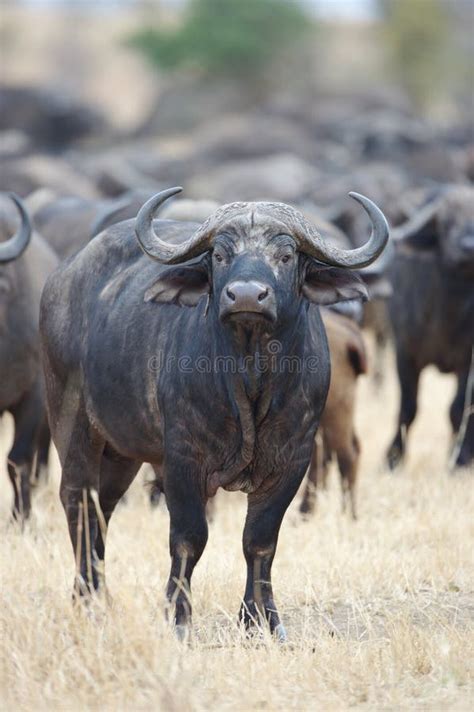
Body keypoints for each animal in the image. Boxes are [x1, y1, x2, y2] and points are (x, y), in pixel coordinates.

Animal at [40, 188, 388, 640]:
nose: (246, 296)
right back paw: (86, 600)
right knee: (78, 502)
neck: (250, 377)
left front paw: (261, 621)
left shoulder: (293, 460)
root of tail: (61, 280)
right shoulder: (182, 459)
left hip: (121, 452)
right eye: (220, 255)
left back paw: (101, 596)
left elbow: (260, 540)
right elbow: (189, 538)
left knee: (104, 506)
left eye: (286, 254)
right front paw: (178, 619)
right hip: (71, 421)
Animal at [386, 186, 474, 470]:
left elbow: (459, 408)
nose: (467, 247)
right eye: (446, 222)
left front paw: (459, 459)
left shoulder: (468, 361)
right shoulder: (404, 352)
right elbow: (408, 407)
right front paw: (392, 458)